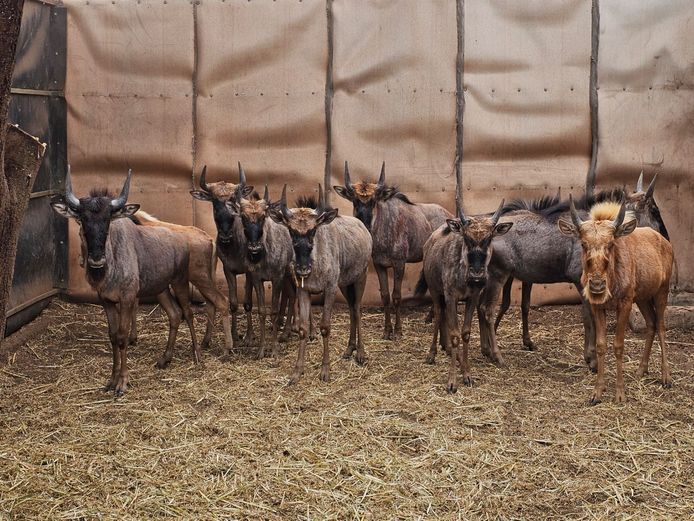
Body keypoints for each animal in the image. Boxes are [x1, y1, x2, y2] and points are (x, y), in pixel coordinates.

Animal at [51, 168, 200, 396]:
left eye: (107, 219)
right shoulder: (107, 301)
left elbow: (122, 337)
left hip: (180, 283)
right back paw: (165, 359)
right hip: (161, 289)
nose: (96, 260)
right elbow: (113, 336)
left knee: (188, 314)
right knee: (175, 315)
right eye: (82, 219)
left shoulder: (127, 299)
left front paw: (122, 382)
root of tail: (182, 239)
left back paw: (197, 354)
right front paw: (111, 381)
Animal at [268, 184, 372, 384]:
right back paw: (349, 349)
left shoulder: (330, 289)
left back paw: (361, 353)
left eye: (312, 231)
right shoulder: (304, 291)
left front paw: (325, 370)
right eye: (291, 231)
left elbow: (325, 327)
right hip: (344, 284)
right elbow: (303, 328)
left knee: (356, 309)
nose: (302, 269)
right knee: (351, 308)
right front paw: (297, 371)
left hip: (360, 277)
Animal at [333, 162, 452, 340]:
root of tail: (449, 215)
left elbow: (396, 296)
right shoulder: (379, 265)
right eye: (354, 200)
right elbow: (385, 296)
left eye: (374, 201)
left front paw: (398, 331)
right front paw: (386, 330)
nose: (364, 223)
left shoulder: (399, 264)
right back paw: (430, 316)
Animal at [558, 197, 673, 404]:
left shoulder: (625, 304)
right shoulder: (598, 306)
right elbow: (601, 345)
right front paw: (597, 392)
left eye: (611, 243)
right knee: (651, 324)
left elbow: (618, 346)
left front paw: (620, 393)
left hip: (662, 291)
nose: (597, 285)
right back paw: (641, 370)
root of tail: (665, 242)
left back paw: (666, 377)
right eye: (583, 244)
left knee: (660, 326)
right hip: (643, 298)